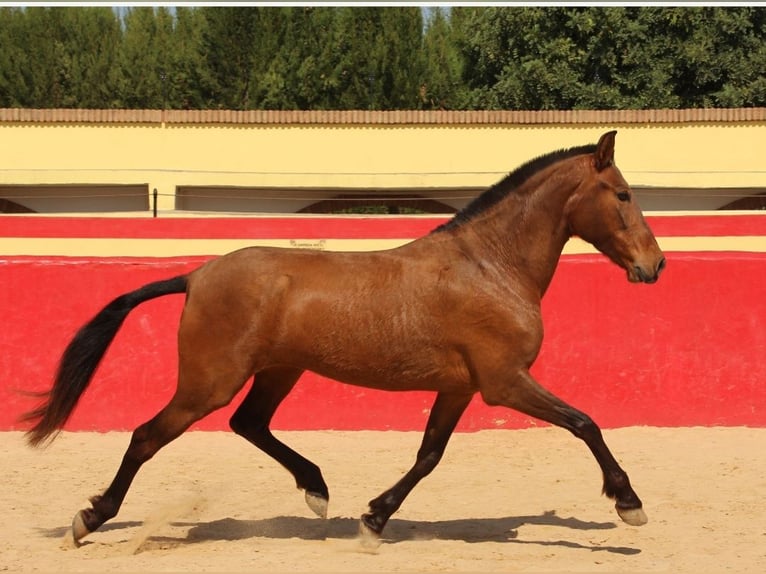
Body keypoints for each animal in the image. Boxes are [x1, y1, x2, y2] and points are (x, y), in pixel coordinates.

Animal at [21, 132, 664, 548]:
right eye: (624, 194)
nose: (654, 265)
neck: (490, 266)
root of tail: (196, 274)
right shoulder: (505, 383)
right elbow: (585, 423)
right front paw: (629, 504)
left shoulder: (461, 388)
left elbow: (428, 456)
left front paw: (374, 520)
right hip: (209, 382)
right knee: (147, 436)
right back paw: (88, 520)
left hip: (277, 372)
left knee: (248, 424)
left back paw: (317, 489)